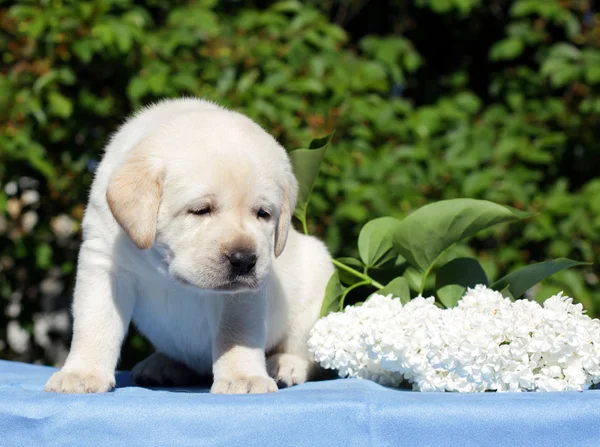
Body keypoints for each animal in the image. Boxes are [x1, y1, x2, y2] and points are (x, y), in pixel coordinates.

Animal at [44, 99, 336, 396]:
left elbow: (237, 333)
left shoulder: (241, 295)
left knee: (309, 356)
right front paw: (82, 374)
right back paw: (162, 365)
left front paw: (243, 377)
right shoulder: (103, 262)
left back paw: (285, 364)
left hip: (316, 296)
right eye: (200, 209)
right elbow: (95, 323)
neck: (163, 266)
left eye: (263, 214)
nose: (244, 259)